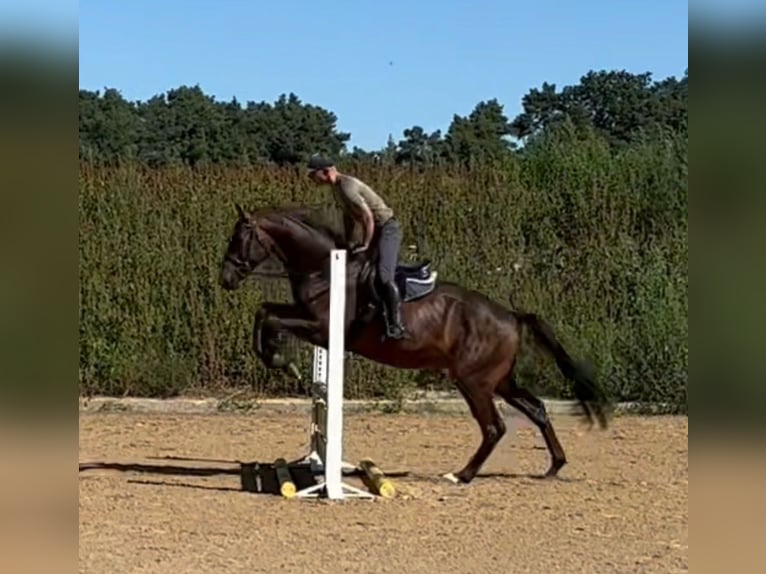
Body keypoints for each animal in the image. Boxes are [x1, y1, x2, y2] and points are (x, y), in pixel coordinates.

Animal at [219, 202, 612, 484]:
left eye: (239, 238)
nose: (226, 278)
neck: (323, 270)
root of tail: (512, 316)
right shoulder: (306, 319)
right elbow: (264, 311)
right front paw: (276, 356)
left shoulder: (320, 329)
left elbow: (270, 319)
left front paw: (278, 358)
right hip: (499, 380)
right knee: (537, 410)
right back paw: (554, 466)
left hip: (474, 381)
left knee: (494, 427)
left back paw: (461, 475)